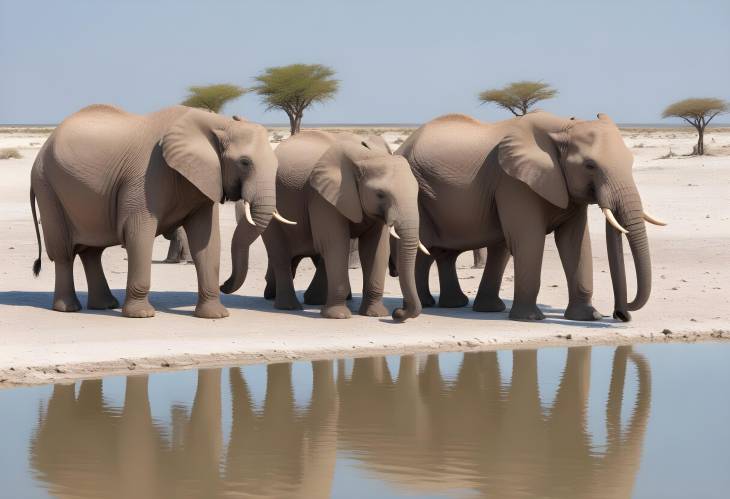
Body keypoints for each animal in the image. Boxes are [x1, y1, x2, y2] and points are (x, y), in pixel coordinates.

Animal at [29, 104, 278, 320]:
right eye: (245, 162)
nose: (225, 285)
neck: (219, 122)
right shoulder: (147, 175)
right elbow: (138, 232)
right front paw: (141, 315)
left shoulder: (203, 180)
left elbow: (206, 240)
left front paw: (216, 316)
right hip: (46, 185)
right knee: (63, 252)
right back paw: (68, 308)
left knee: (92, 253)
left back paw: (105, 305)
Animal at [222, 131, 426, 322]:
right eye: (380, 194)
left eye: (417, 193)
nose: (397, 312)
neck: (367, 156)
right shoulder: (322, 197)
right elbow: (335, 244)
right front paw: (339, 316)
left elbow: (375, 249)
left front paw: (375, 314)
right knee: (281, 255)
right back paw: (289, 306)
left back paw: (312, 301)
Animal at [396, 111, 664, 322]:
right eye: (590, 165)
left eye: (630, 161)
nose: (620, 314)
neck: (563, 127)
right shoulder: (514, 182)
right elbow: (528, 241)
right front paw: (531, 319)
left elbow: (574, 243)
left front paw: (588, 317)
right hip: (419, 190)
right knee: (428, 246)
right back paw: (427, 305)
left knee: (447, 252)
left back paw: (462, 306)